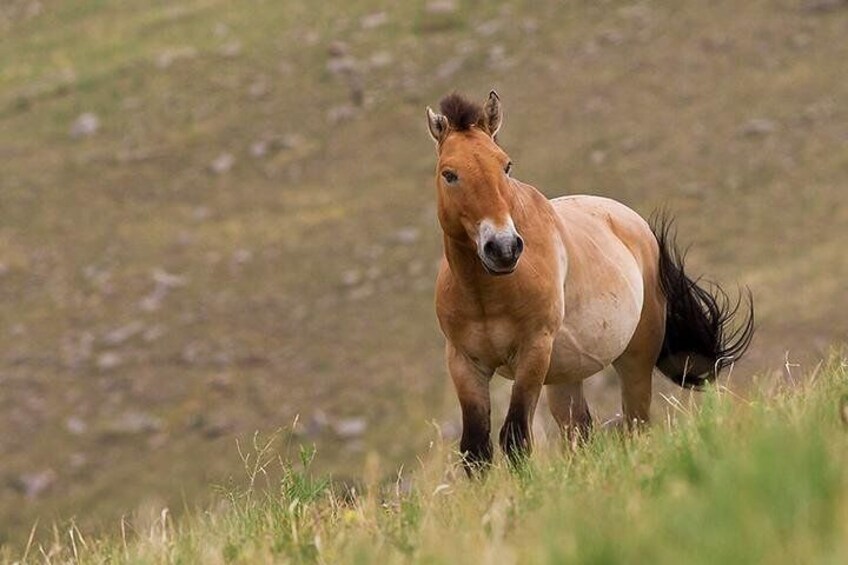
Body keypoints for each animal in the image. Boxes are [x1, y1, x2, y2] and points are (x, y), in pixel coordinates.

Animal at [428, 91, 752, 472]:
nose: (503, 248)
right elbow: (476, 451)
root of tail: (639, 226)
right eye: (449, 174)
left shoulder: (533, 351)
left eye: (506, 166)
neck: (487, 295)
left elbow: (515, 438)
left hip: (634, 359)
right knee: (580, 432)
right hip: (564, 378)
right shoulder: (465, 363)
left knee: (635, 424)